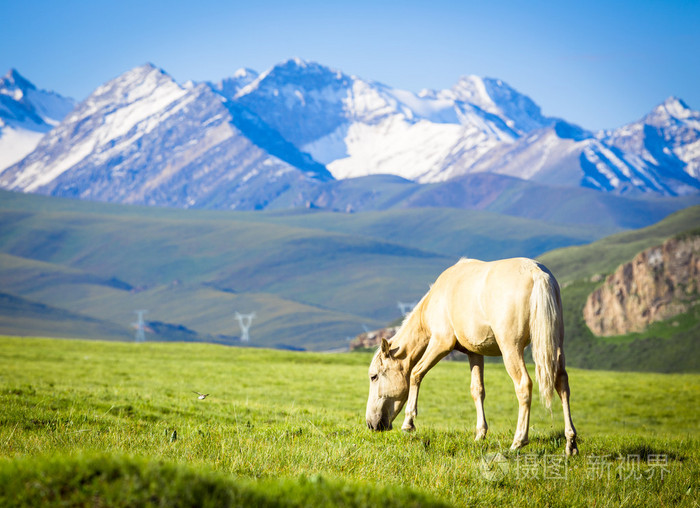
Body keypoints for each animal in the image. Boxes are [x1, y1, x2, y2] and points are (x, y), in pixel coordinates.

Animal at [364, 258, 576, 456]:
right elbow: (477, 390)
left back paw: (518, 442)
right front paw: (480, 434)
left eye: (374, 376)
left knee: (523, 384)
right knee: (562, 383)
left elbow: (416, 374)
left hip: (511, 348)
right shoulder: (475, 353)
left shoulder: (441, 343)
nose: (371, 424)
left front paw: (408, 423)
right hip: (556, 344)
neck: (437, 297)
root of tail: (537, 274)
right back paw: (570, 444)